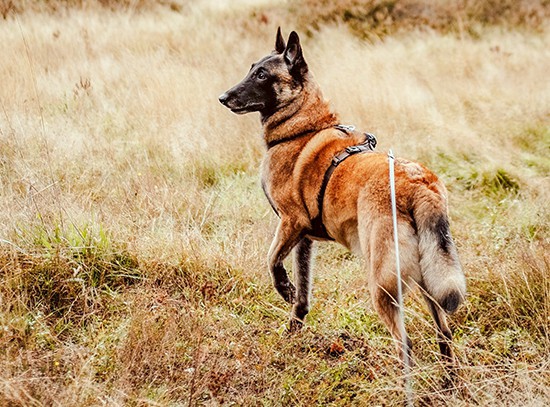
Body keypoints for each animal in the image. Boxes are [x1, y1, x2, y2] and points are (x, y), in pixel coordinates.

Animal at [218, 27, 468, 366]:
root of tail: (418, 184)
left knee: (406, 345)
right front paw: (292, 331)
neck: (302, 126)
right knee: (445, 337)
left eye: (261, 75)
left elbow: (271, 261)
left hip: (383, 284)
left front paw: (284, 289)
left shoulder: (290, 223)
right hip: (431, 282)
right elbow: (302, 297)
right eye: (251, 68)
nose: (223, 97)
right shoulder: (303, 239)